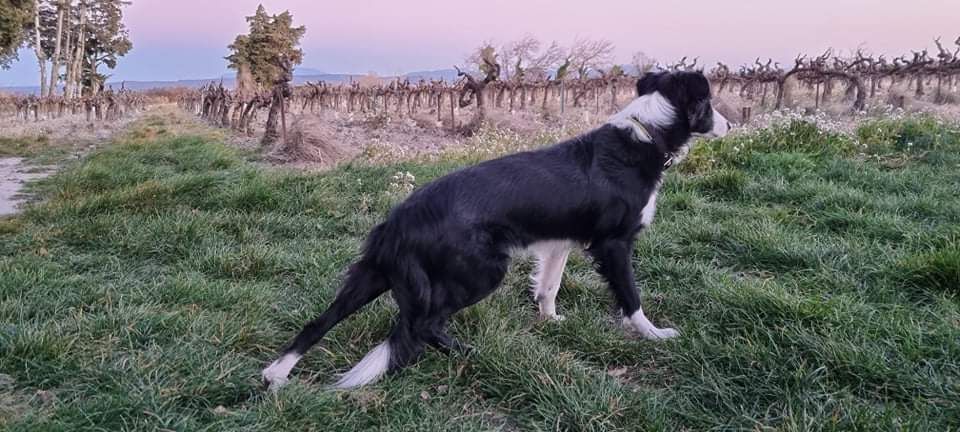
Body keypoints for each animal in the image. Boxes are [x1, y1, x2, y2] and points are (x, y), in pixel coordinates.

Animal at [260, 70, 728, 388]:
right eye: (709, 104)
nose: (731, 124)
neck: (645, 135)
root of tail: (402, 218)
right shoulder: (614, 245)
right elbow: (631, 297)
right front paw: (654, 335)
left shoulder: (560, 243)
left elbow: (549, 287)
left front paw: (550, 321)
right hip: (482, 272)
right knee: (424, 325)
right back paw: (471, 353)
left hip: (373, 274)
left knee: (320, 321)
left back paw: (276, 375)